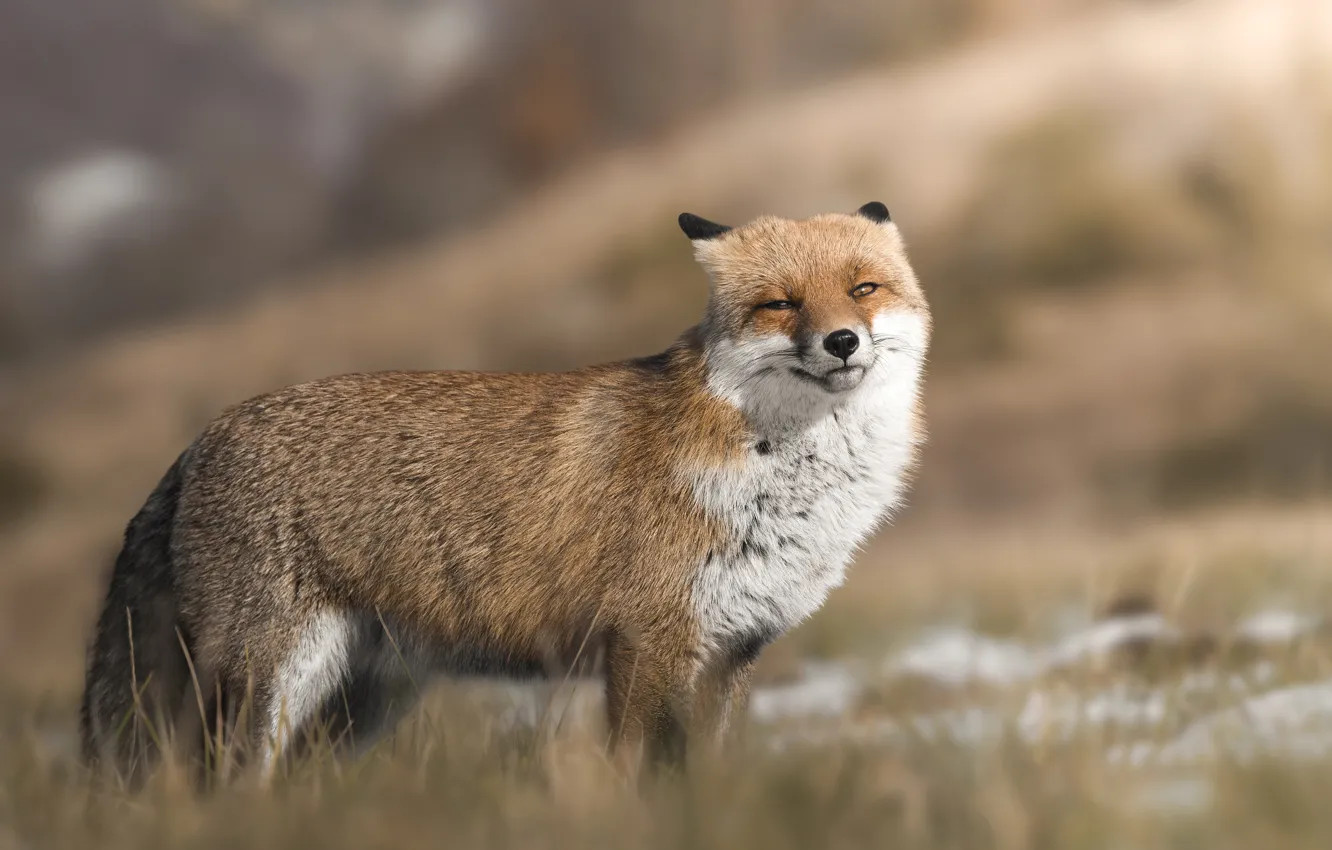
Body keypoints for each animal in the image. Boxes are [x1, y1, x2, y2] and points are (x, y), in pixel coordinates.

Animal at [80, 202, 931, 782]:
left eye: (864, 288)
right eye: (781, 303)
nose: (842, 342)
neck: (774, 481)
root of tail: (198, 442)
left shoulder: (732, 652)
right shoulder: (646, 643)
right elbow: (639, 780)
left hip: (357, 706)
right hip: (264, 685)